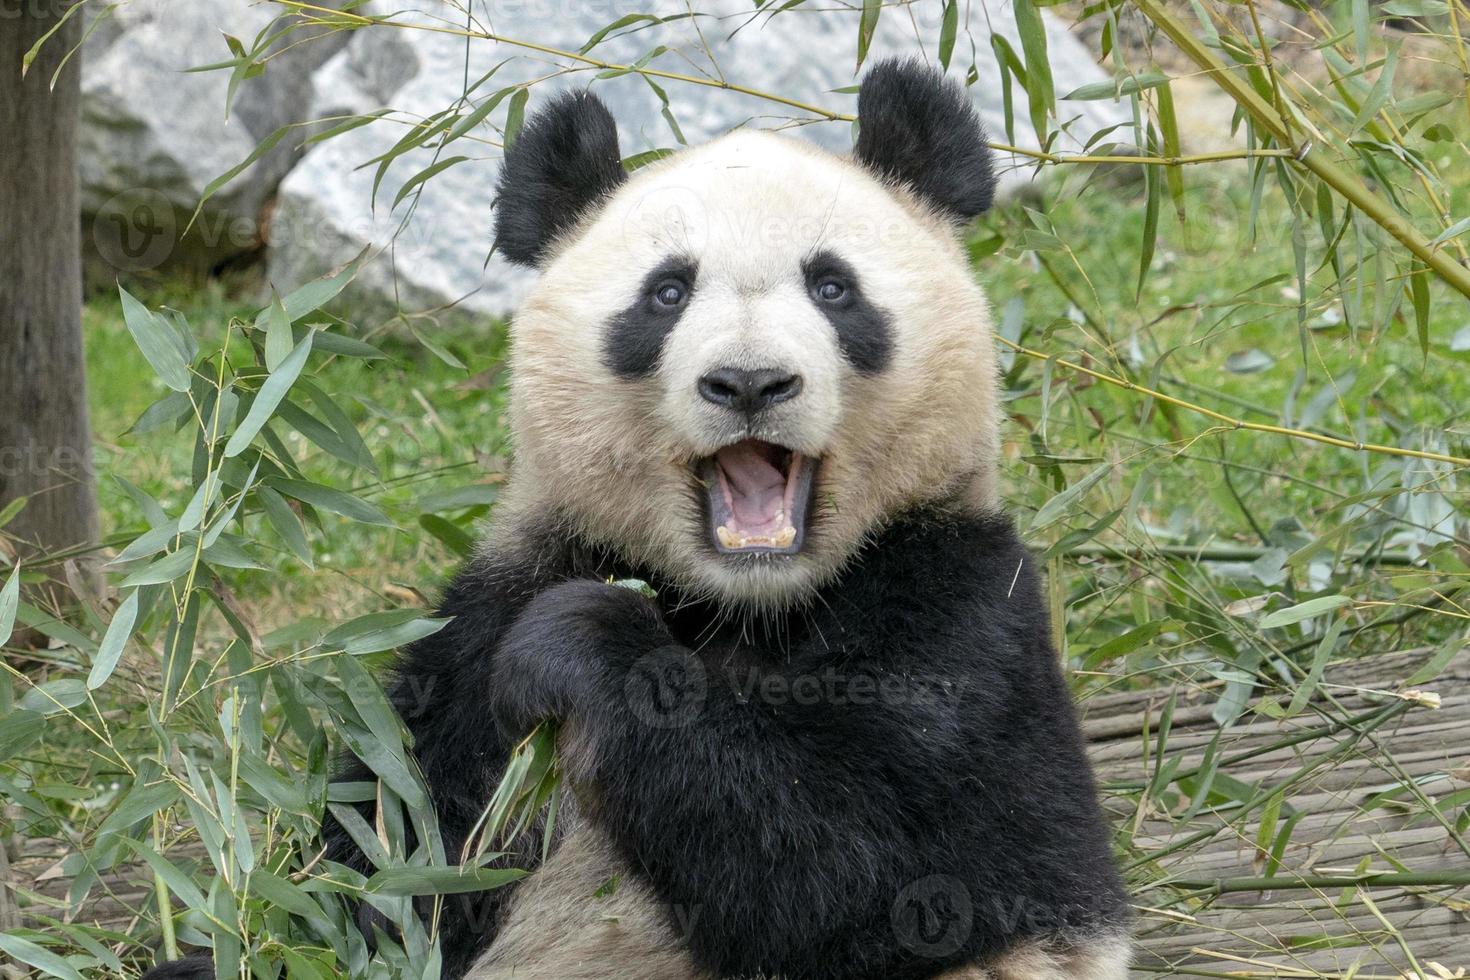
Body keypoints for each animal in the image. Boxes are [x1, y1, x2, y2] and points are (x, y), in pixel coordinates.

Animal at [146, 59, 1123, 980]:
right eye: (667, 293)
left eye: (834, 287)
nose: (750, 382)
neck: (742, 601)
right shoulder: (491, 617)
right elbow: (392, 858)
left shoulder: (958, 607)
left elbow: (905, 874)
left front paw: (585, 643)